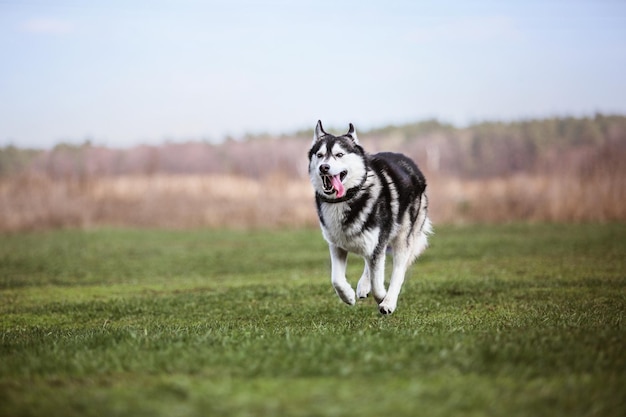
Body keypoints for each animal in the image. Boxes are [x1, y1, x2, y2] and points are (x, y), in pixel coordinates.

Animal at [306, 118, 428, 314]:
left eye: (339, 154)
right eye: (320, 155)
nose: (324, 167)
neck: (347, 198)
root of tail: (410, 162)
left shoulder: (377, 244)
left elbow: (378, 284)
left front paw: (383, 298)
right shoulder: (337, 246)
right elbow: (336, 280)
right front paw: (348, 296)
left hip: (402, 239)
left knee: (398, 271)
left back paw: (389, 300)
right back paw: (363, 286)